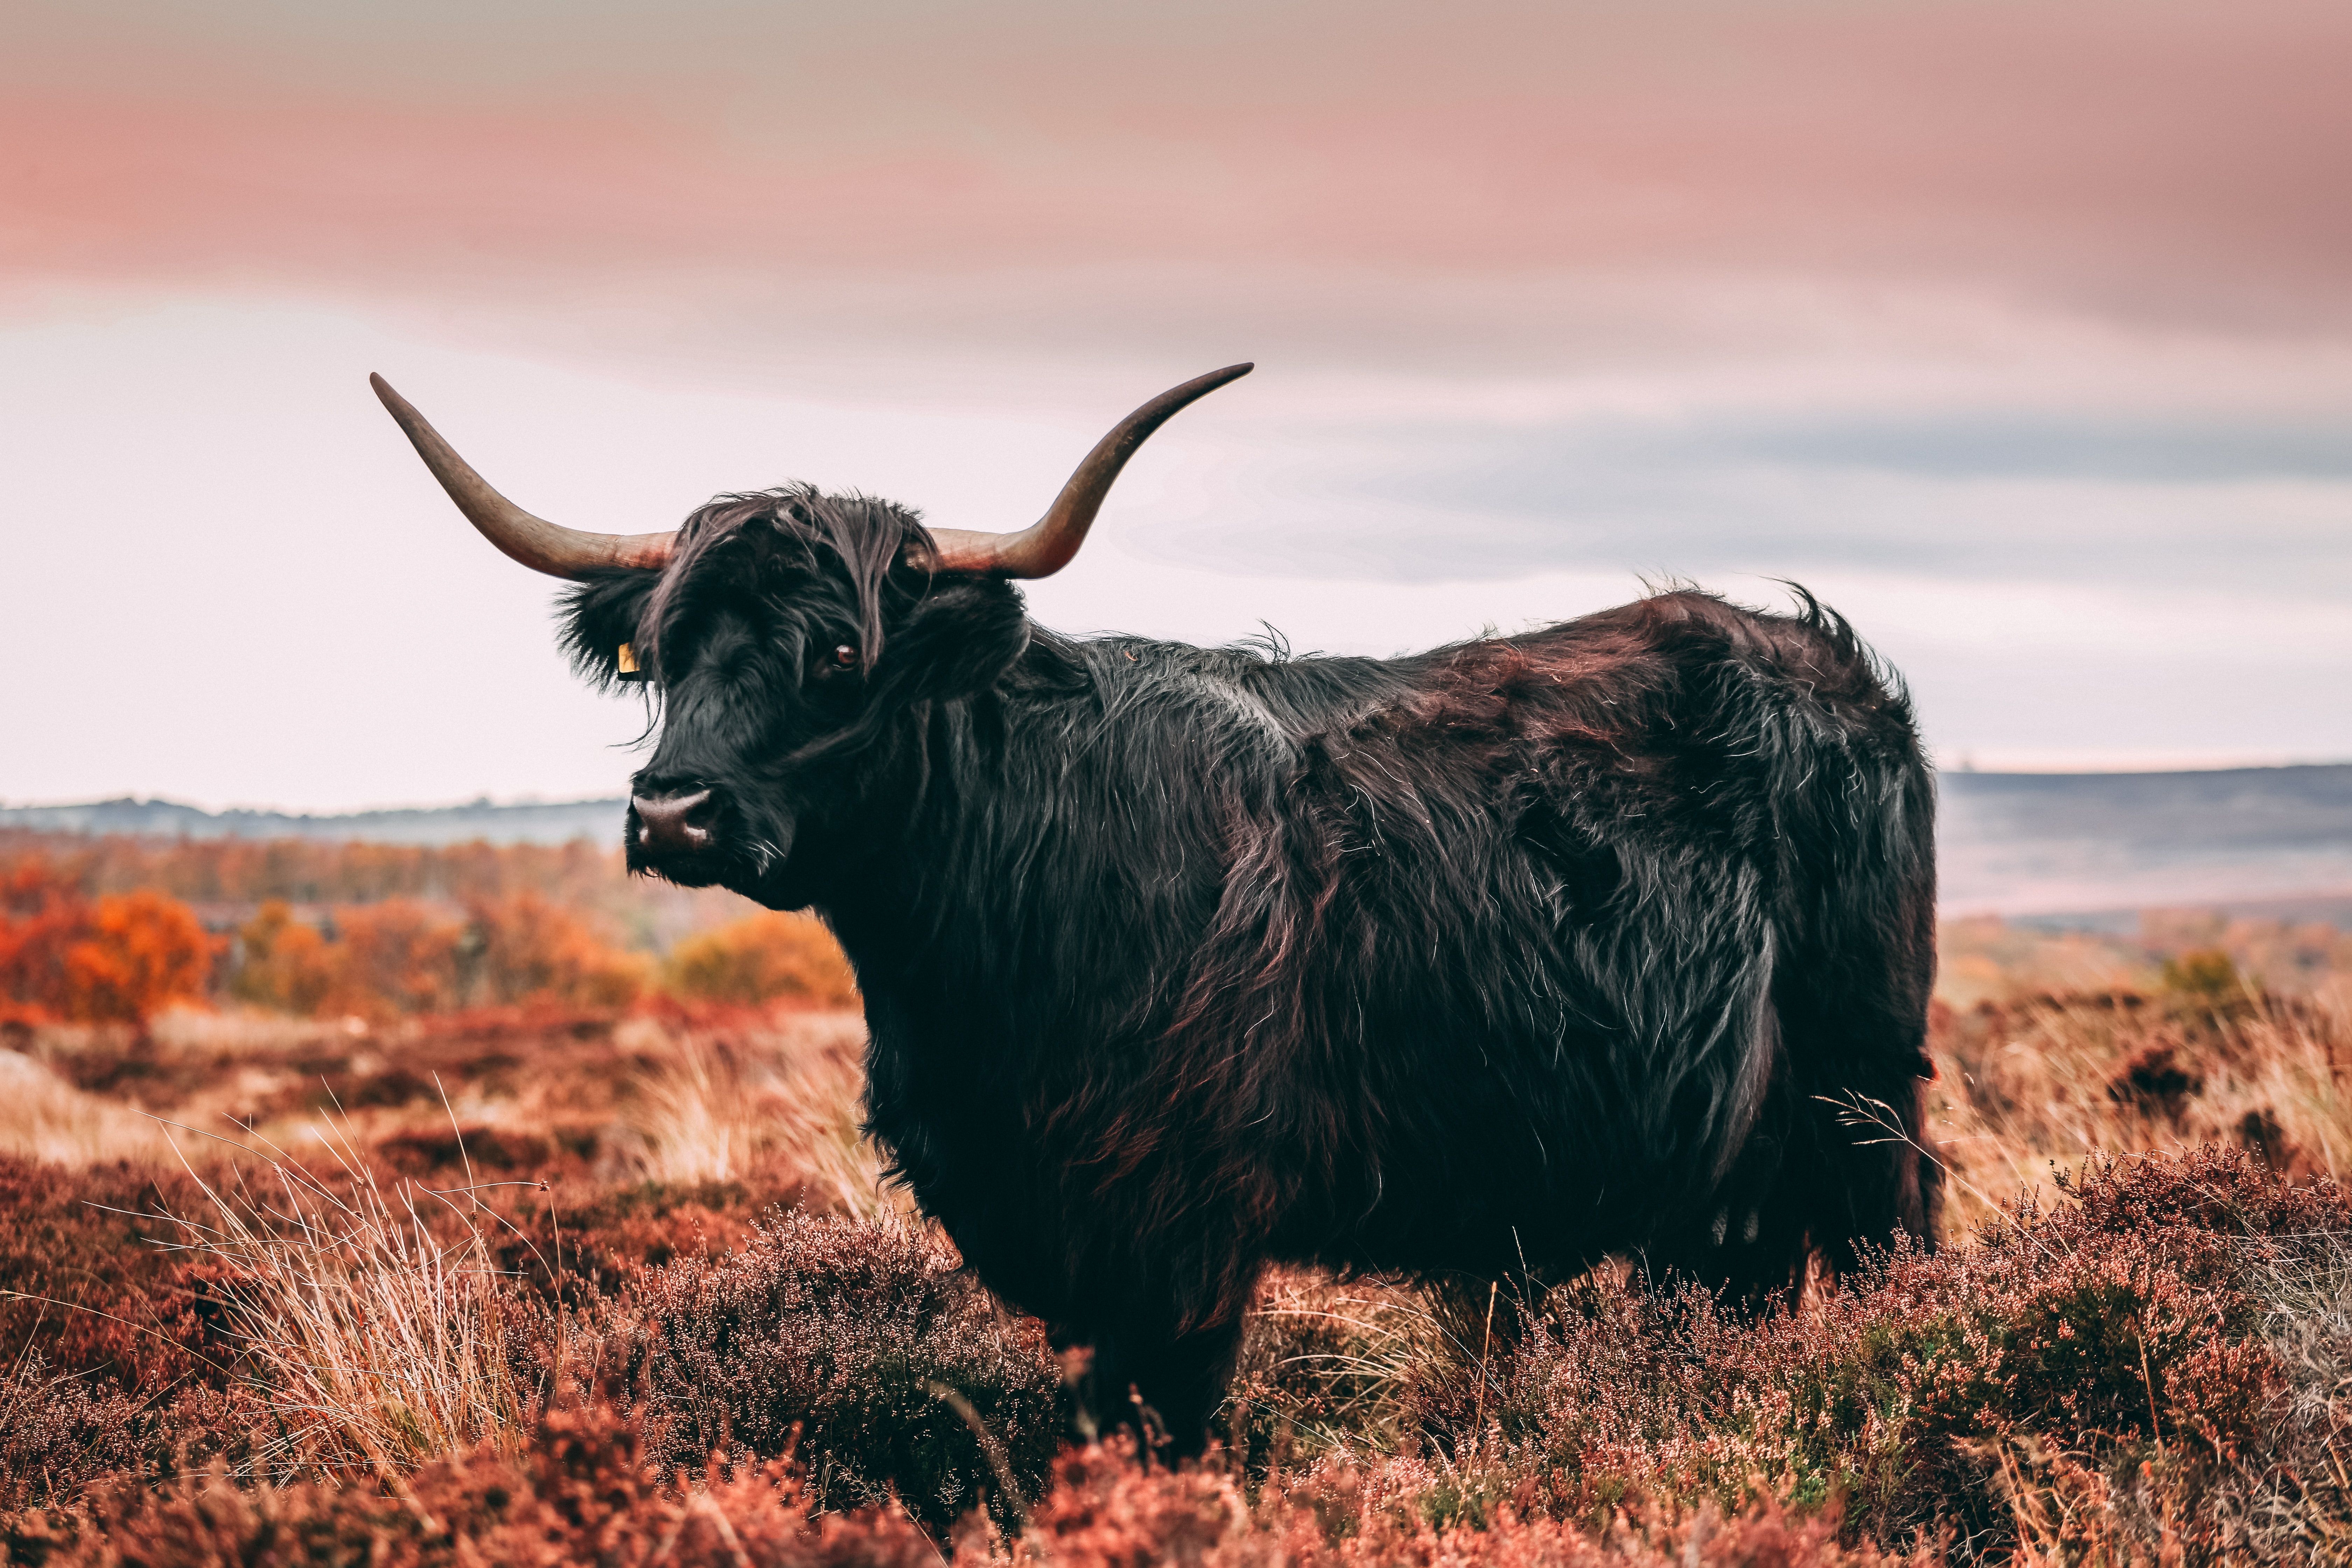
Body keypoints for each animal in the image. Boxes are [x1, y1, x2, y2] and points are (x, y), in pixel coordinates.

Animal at [370, 364, 1940, 1451]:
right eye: (667, 651)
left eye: (837, 653)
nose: (673, 811)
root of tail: (1826, 664)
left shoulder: (1181, 1220)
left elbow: (1160, 1426)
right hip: (1715, 1159)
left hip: (1863, 1089)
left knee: (1883, 1241)